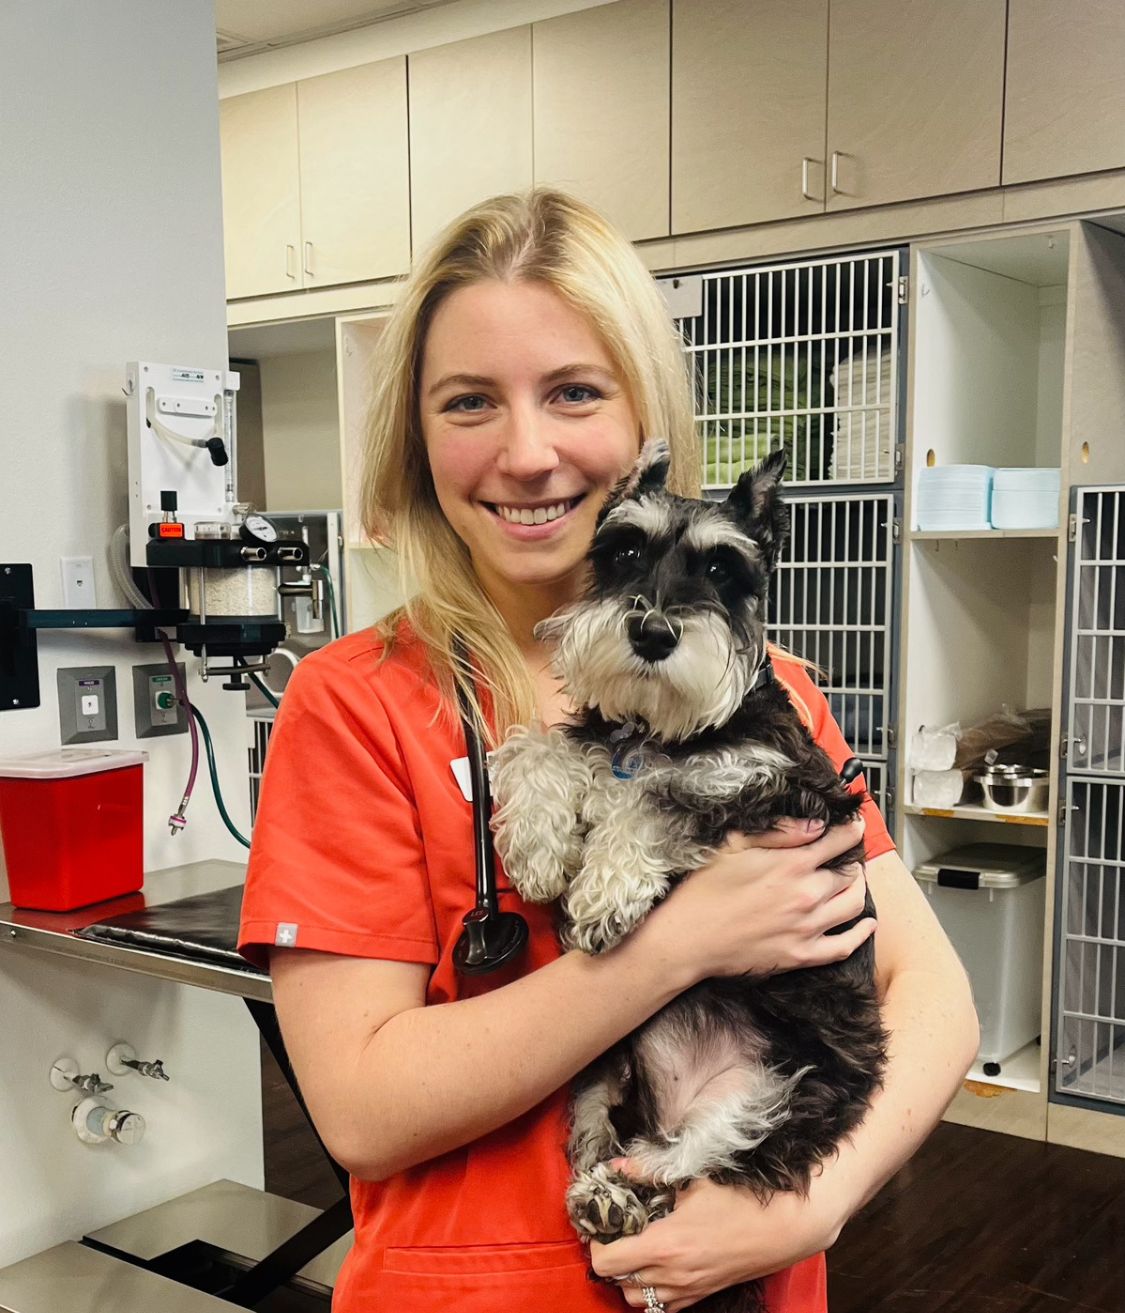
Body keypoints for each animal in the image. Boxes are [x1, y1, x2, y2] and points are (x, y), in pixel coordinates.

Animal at [490, 443, 887, 1313]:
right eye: (624, 550)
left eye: (719, 566)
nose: (652, 630)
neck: (658, 729)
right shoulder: (600, 738)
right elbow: (543, 745)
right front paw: (537, 844)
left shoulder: (771, 787)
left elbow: (655, 798)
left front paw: (602, 894)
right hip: (599, 1071)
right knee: (604, 1141)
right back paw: (605, 1198)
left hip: (785, 1092)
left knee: (701, 1163)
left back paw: (631, 1197)